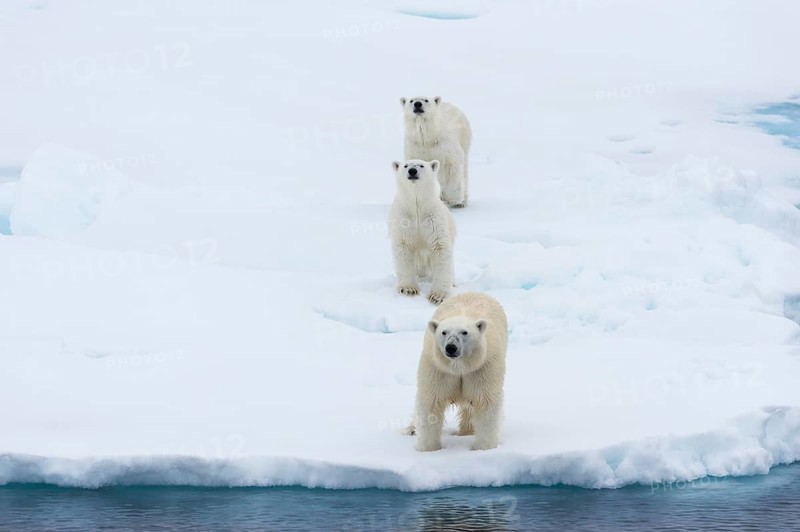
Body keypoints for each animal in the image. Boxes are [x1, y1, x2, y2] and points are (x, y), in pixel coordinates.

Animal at [389, 159, 456, 305]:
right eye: (405, 165)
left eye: (421, 165)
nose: (412, 171)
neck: (417, 207)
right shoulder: (404, 219)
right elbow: (404, 248)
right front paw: (408, 289)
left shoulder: (433, 219)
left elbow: (439, 248)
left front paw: (437, 296)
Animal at [410, 292, 508, 452]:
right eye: (444, 332)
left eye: (464, 332)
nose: (451, 347)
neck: (460, 367)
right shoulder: (439, 369)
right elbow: (431, 401)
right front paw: (429, 449)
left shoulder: (481, 368)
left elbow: (484, 401)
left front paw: (483, 448)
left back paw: (466, 431)